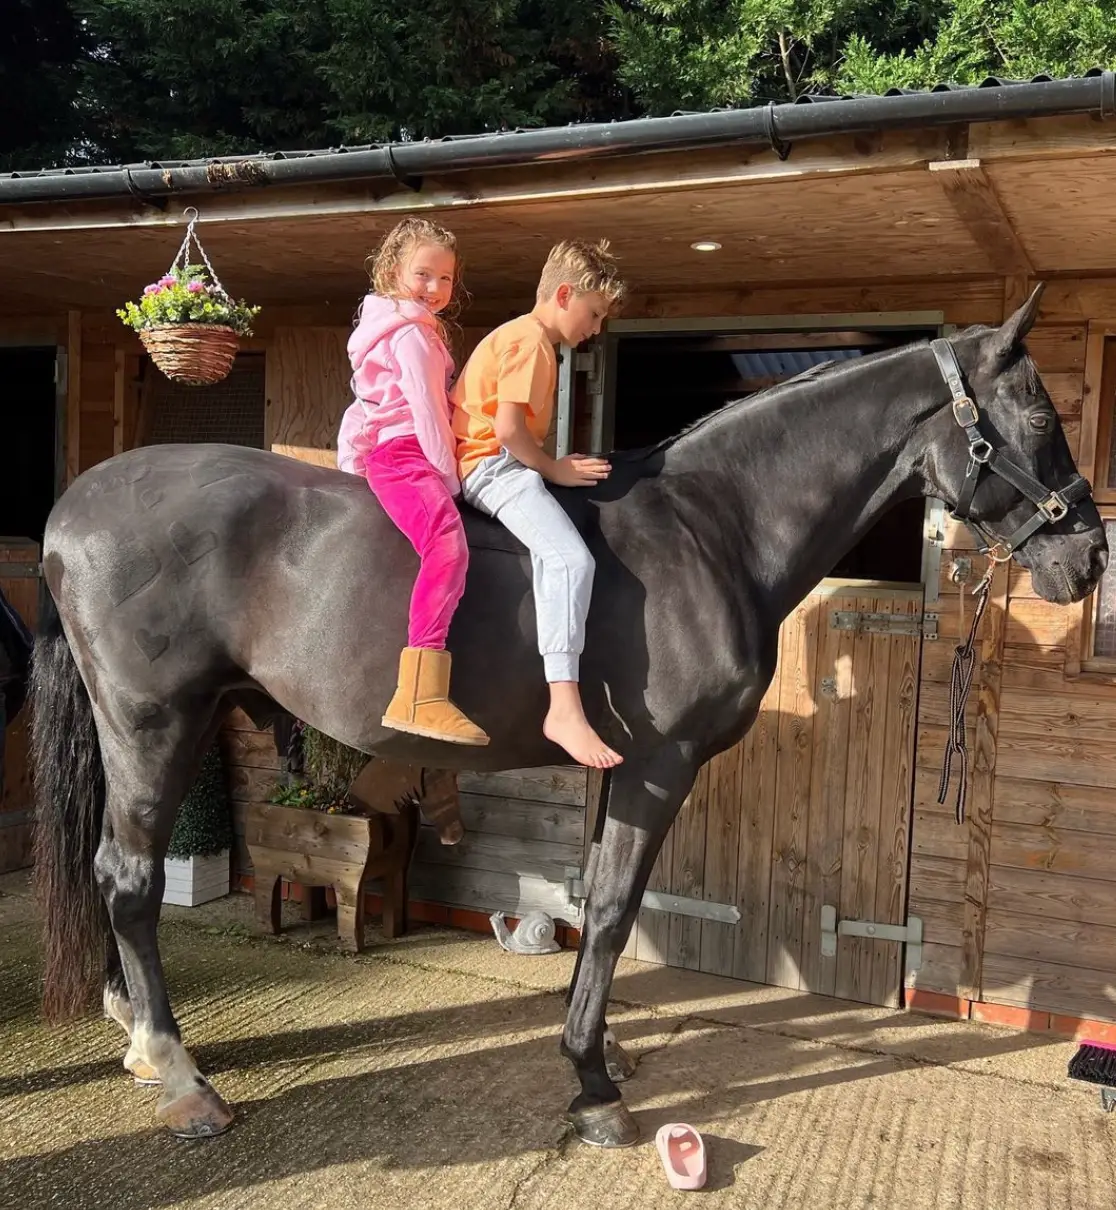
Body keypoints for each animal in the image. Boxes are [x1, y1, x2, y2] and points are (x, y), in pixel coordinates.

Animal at [29, 284, 1107, 1147]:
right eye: (1037, 416)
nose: (1090, 558)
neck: (709, 529)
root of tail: (71, 511)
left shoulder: (623, 771)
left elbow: (598, 909)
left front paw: (607, 1052)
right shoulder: (661, 766)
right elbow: (619, 909)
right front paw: (593, 1086)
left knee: (109, 869)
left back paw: (139, 1042)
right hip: (154, 724)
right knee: (128, 878)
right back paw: (182, 1074)